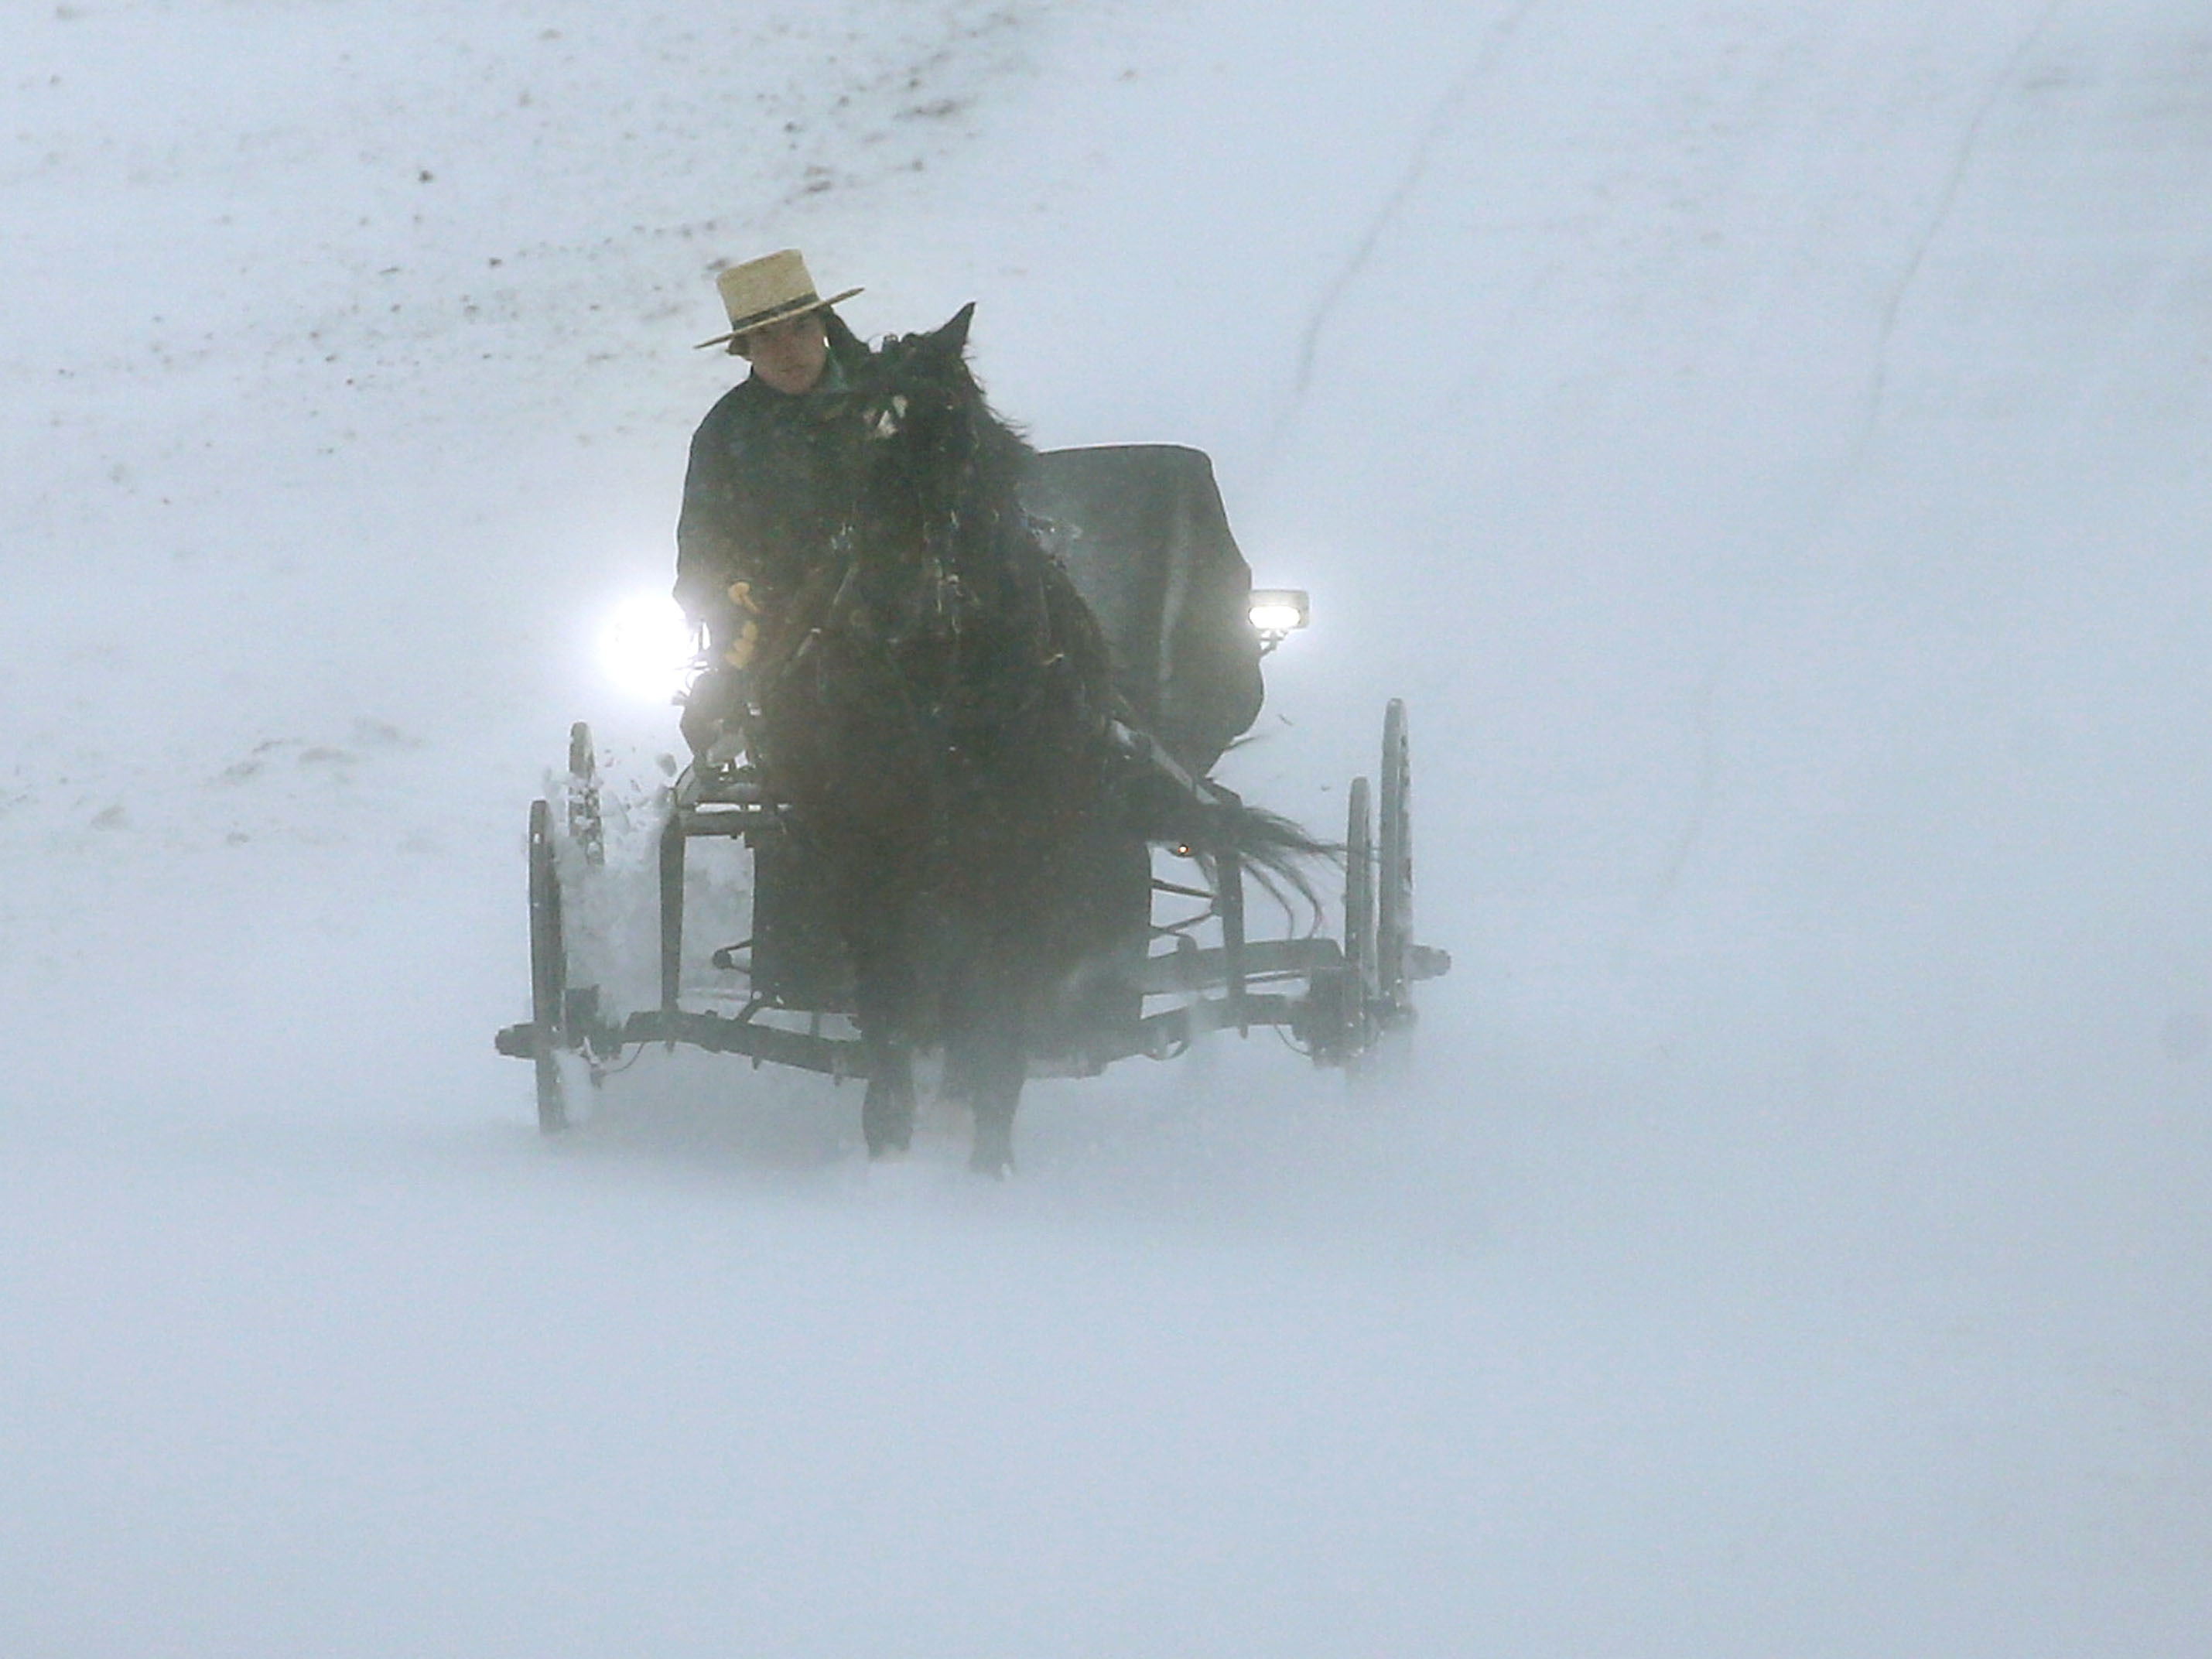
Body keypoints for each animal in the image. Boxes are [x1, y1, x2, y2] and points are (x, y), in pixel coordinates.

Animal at [752, 305, 1318, 1176]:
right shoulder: (868, 857)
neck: (939, 687)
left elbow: (998, 1009)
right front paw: (888, 1148)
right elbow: (887, 1006)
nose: (907, 600)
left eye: (957, 436)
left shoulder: (1021, 862)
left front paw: (990, 1157)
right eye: (848, 439)